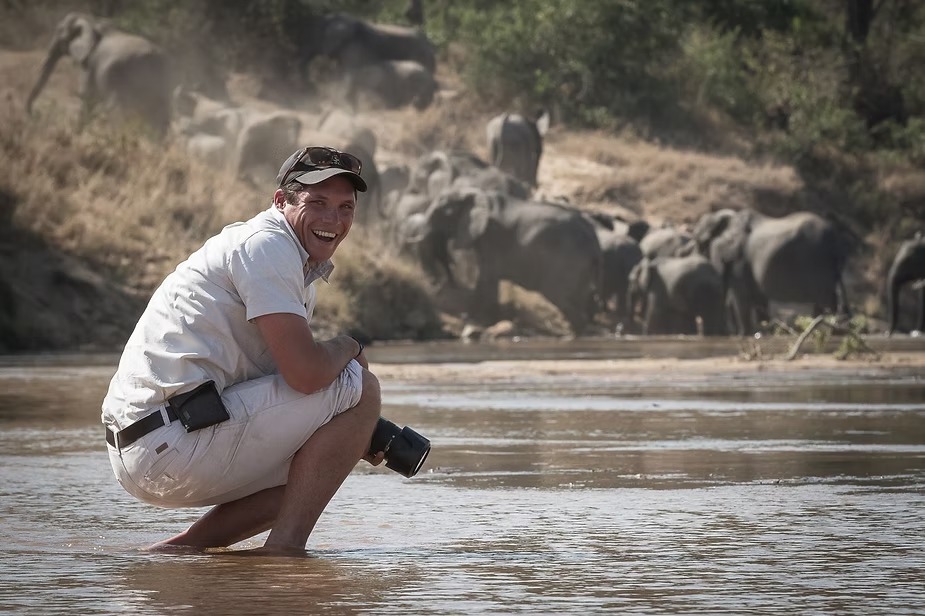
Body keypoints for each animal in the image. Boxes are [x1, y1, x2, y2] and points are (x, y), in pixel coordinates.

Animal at [26, 13, 172, 136]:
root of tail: (152, 55)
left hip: (123, 75)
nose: (35, 115)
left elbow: (87, 98)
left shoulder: (90, 64)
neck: (93, 21)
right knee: (160, 113)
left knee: (117, 111)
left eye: (60, 34)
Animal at [407, 187, 603, 334]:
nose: (437, 284)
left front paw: (476, 319)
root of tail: (593, 238)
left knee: (560, 296)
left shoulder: (492, 236)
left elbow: (487, 278)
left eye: (443, 212)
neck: (477, 193)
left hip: (567, 260)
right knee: (578, 299)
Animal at [691, 208, 850, 335]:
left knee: (826, 300)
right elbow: (759, 300)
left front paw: (743, 335)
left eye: (701, 243)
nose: (727, 333)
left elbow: (740, 296)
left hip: (817, 259)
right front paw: (763, 332)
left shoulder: (739, 258)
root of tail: (835, 238)